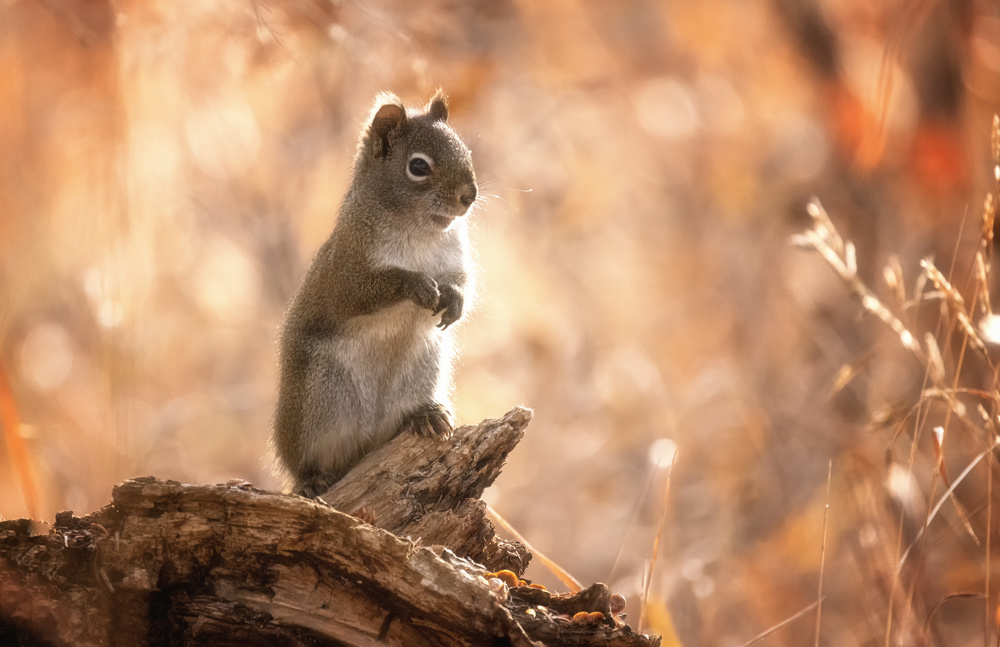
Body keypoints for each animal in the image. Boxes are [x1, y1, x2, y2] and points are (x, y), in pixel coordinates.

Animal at [272, 90, 478, 496]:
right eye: (418, 166)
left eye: (465, 149)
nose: (470, 195)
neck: (419, 231)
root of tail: (365, 445)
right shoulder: (346, 270)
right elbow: (366, 291)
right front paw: (416, 285)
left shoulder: (455, 261)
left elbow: (463, 283)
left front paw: (454, 301)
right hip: (312, 402)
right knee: (305, 460)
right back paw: (310, 480)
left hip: (423, 371)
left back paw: (425, 416)